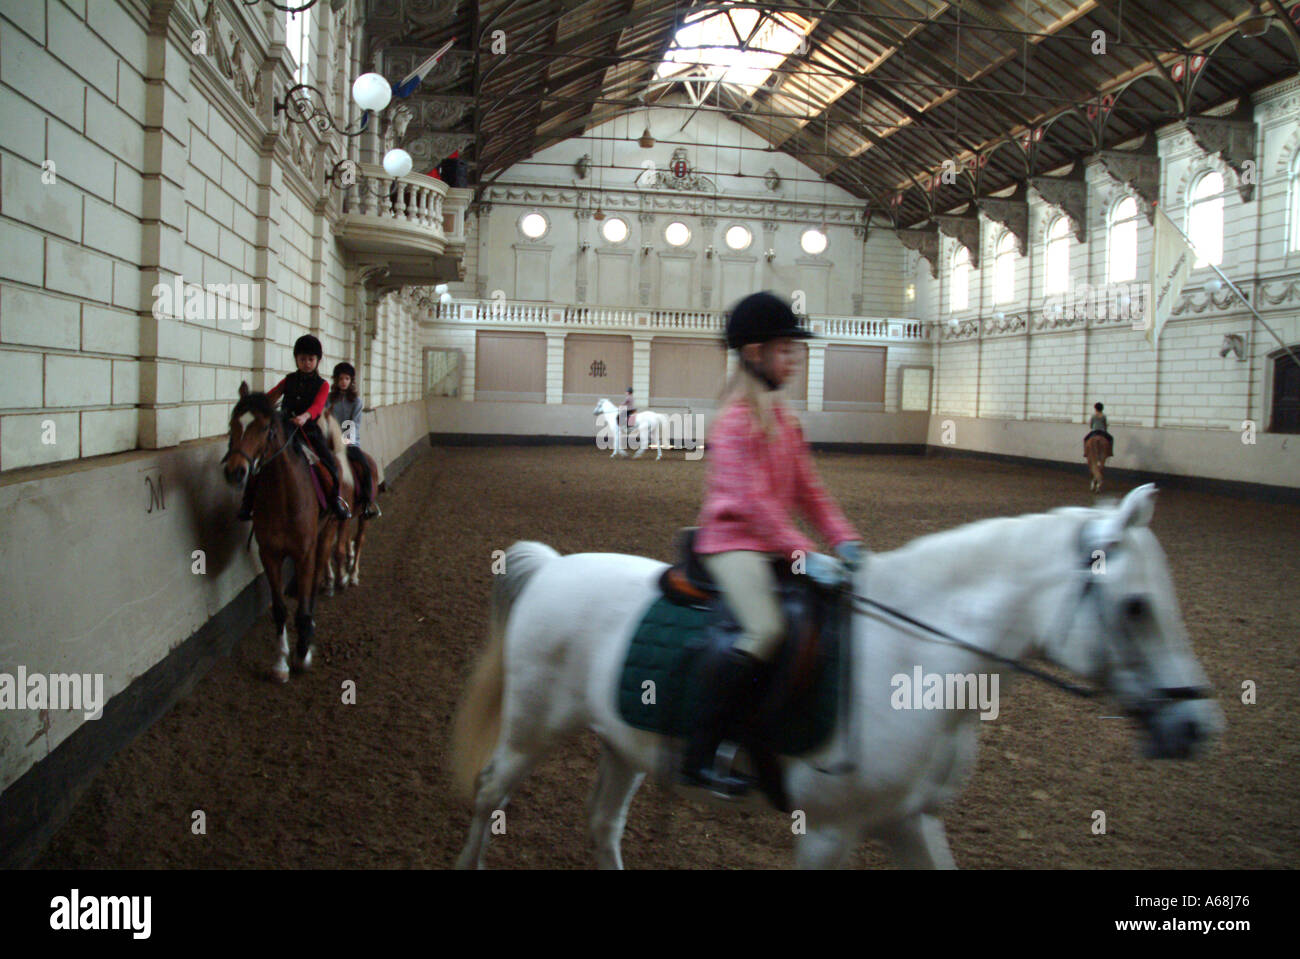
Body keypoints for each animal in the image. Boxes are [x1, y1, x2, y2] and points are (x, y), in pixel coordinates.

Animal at [222, 382, 356, 680]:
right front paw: (281, 662)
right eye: (233, 424)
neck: (283, 494)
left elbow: (303, 607)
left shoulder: (304, 553)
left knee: (316, 578)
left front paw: (303, 652)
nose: (235, 472)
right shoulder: (269, 554)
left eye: (264, 428)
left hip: (326, 532)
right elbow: (280, 609)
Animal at [447, 485, 1216, 868]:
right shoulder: (826, 829)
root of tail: (556, 565)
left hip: (624, 741)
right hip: (534, 724)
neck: (913, 659)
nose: (1198, 724)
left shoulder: (910, 819)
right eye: (1136, 606)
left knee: (603, 823)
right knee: (489, 790)